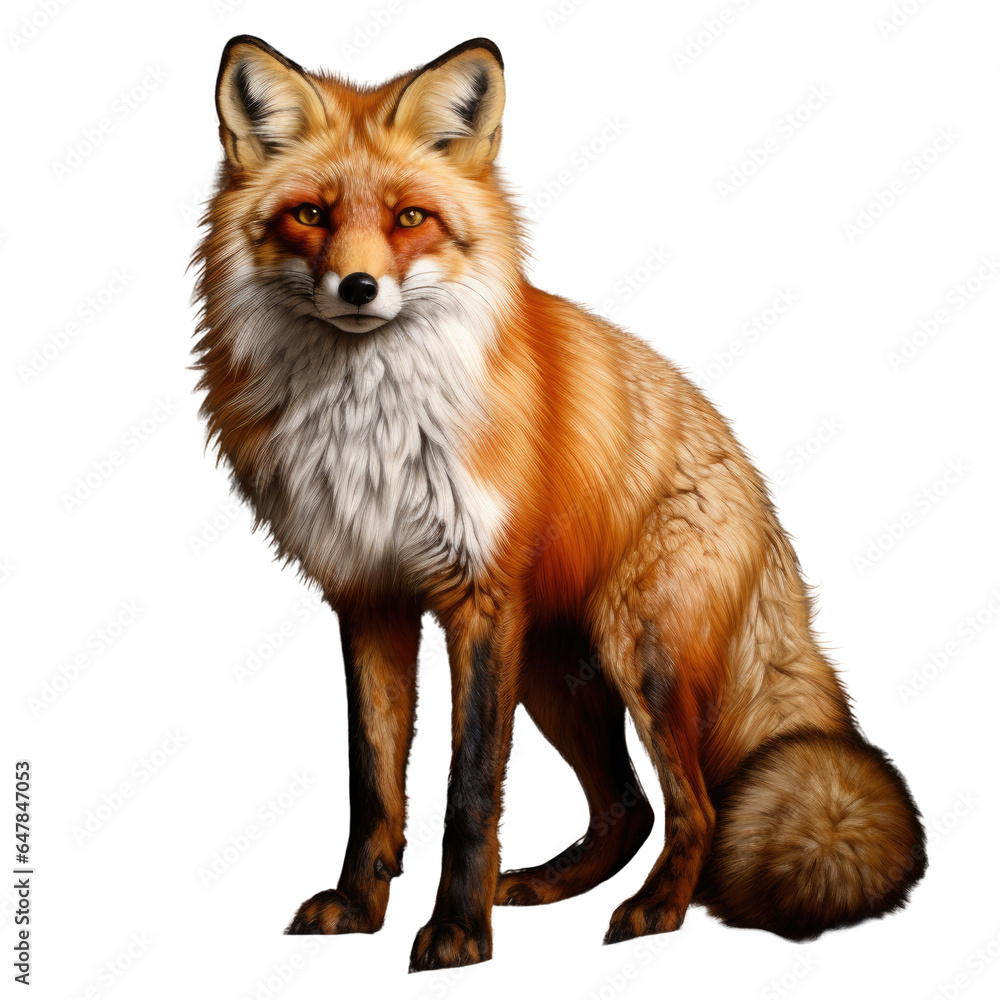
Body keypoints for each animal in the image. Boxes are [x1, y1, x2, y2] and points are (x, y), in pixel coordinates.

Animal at [193, 35, 927, 972]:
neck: (371, 426)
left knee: (694, 808)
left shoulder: (479, 601)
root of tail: (759, 494)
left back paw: (656, 910)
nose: (358, 287)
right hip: (556, 674)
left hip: (638, 654)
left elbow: (469, 792)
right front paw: (360, 907)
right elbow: (373, 782)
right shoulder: (369, 595)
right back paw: (548, 885)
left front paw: (459, 934)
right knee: (629, 809)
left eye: (410, 219)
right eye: (312, 216)